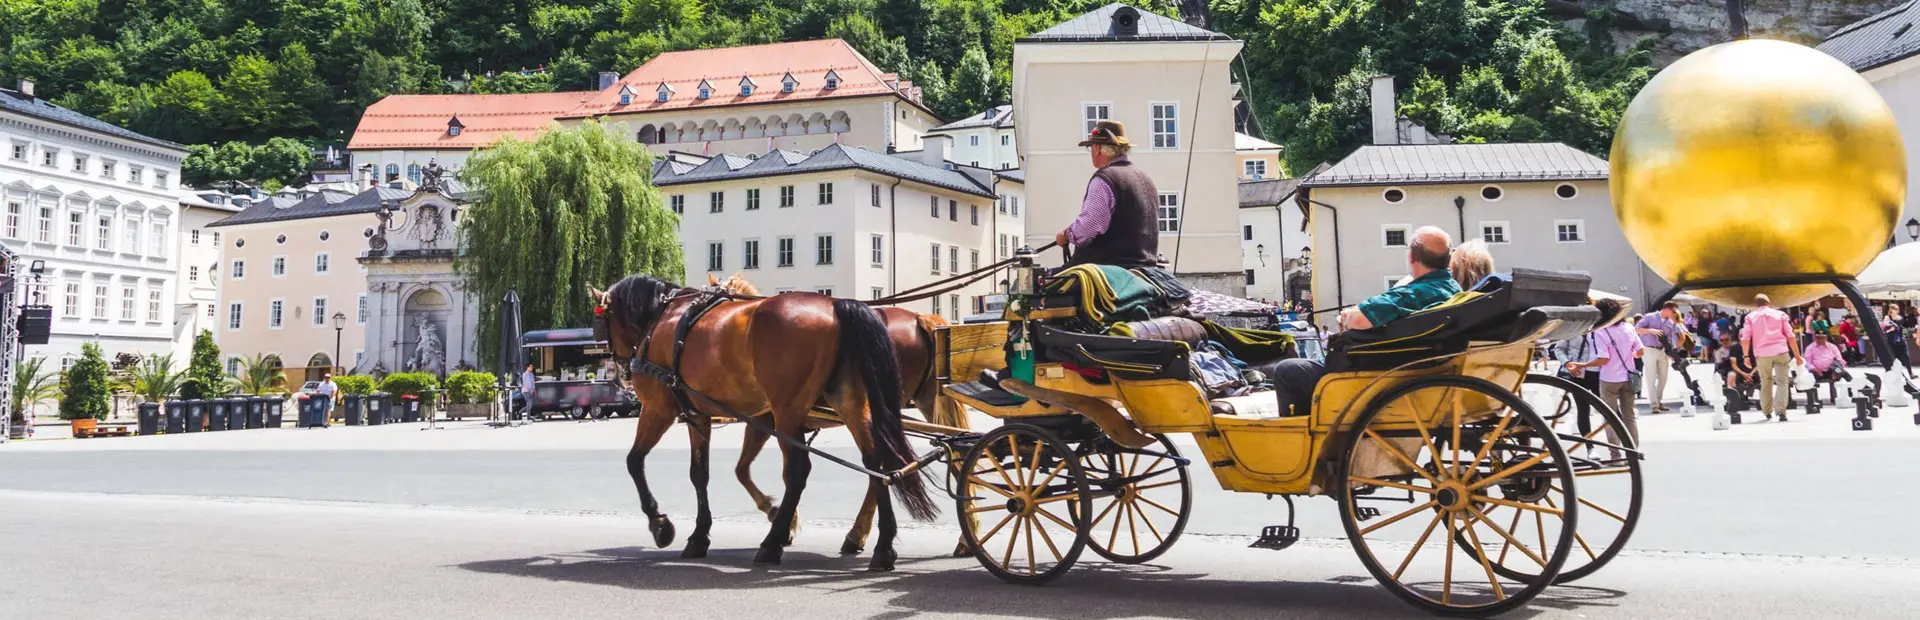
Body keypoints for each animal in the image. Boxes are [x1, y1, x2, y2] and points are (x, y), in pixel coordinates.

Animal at [595, 276, 933, 572]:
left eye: (604, 322)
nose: (620, 373)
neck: (665, 317)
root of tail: (836, 305)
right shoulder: (701, 416)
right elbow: (702, 474)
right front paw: (700, 535)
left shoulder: (658, 409)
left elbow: (635, 461)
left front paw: (660, 524)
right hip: (849, 402)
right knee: (877, 465)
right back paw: (882, 546)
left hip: (788, 412)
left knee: (800, 471)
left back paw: (773, 544)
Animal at [710, 274, 967, 556]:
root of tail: (920, 319)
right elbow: (758, 471)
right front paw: (785, 523)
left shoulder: (767, 421)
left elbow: (751, 470)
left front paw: (780, 519)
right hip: (925, 401)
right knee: (953, 454)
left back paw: (860, 534)